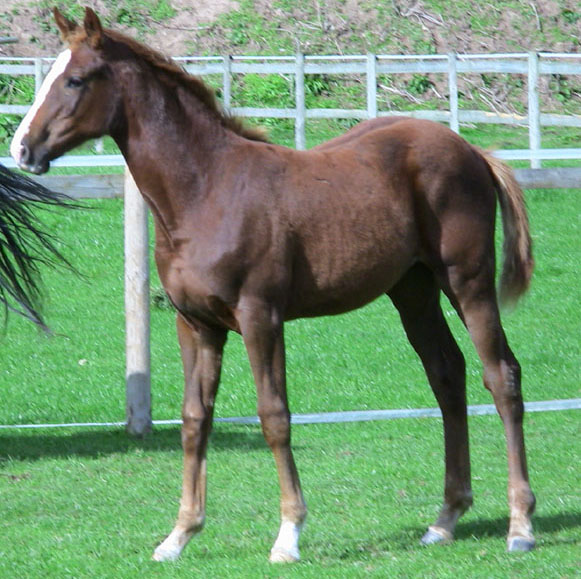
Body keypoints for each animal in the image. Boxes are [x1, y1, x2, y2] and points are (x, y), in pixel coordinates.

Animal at [10, 7, 536, 560]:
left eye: (75, 79)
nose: (22, 149)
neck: (206, 190)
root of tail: (472, 149)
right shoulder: (196, 324)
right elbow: (195, 419)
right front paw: (179, 534)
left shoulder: (260, 316)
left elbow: (274, 415)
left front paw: (289, 534)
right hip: (412, 291)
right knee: (447, 375)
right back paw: (446, 517)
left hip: (467, 281)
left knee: (501, 375)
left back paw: (520, 524)